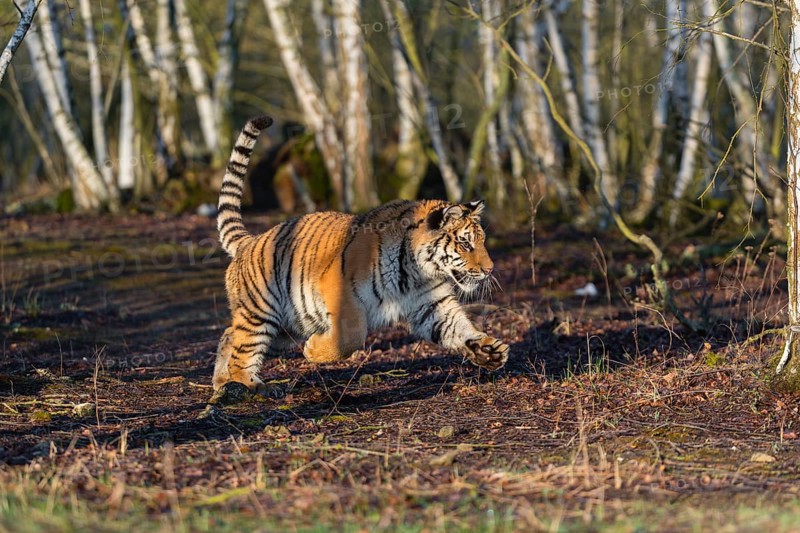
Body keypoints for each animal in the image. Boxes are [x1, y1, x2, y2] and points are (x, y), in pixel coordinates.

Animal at [213, 115, 509, 395]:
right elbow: (352, 335)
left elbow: (457, 326)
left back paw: (222, 382)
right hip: (262, 313)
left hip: (287, 324)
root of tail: (249, 241)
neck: (418, 272)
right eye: (465, 243)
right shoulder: (340, 293)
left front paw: (490, 351)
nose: (490, 269)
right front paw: (313, 351)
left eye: (481, 242)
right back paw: (253, 385)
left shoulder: (432, 305)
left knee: (229, 334)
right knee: (243, 349)